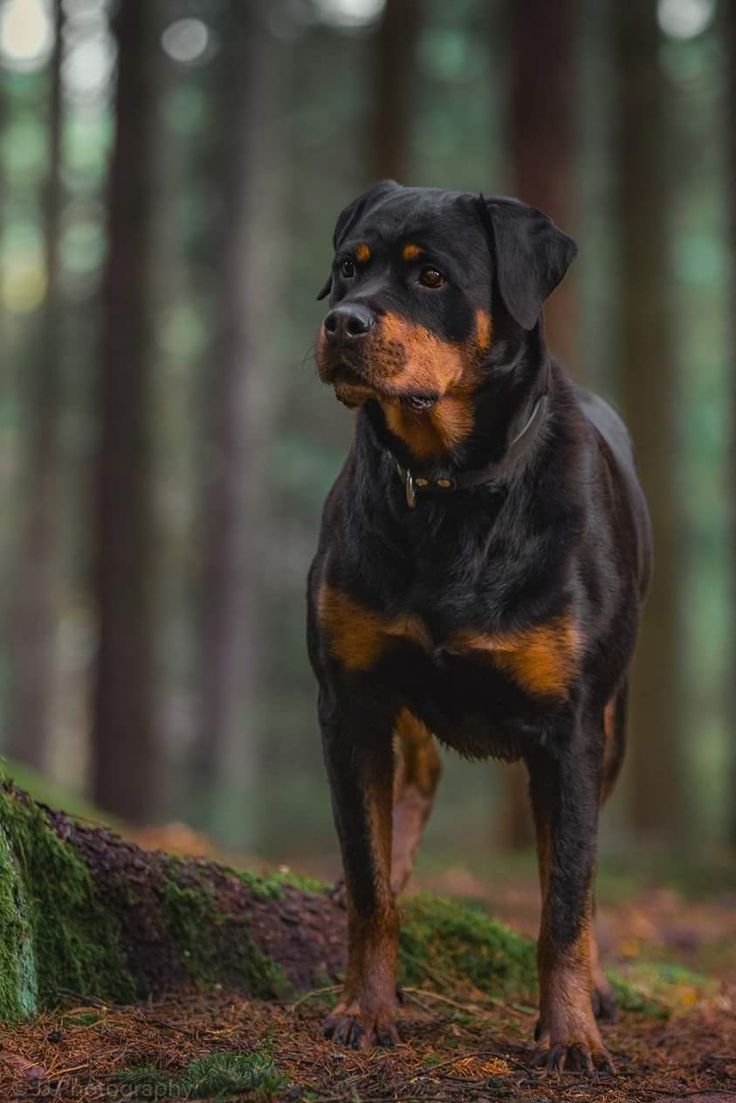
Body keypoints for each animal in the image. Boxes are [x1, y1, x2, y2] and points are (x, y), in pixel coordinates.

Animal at [308, 178, 653, 1067]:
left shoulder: (571, 729)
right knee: (414, 783)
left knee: (578, 861)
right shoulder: (351, 697)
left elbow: (565, 896)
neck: (452, 490)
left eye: (431, 277)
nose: (342, 322)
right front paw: (365, 1006)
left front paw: (570, 1031)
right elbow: (368, 879)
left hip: (614, 723)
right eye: (347, 267)